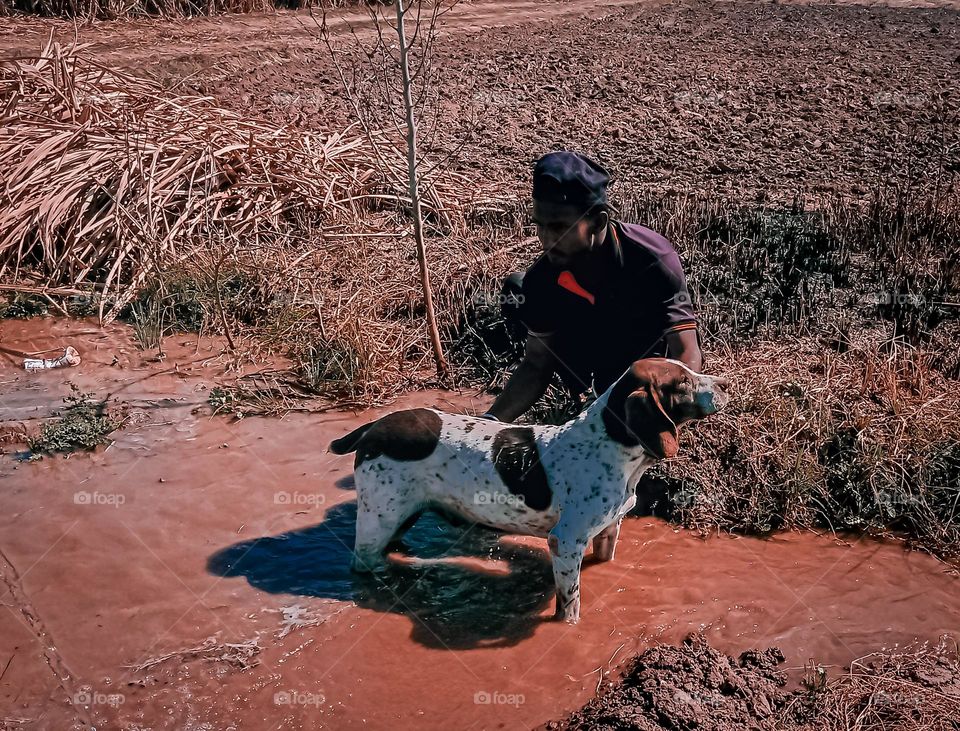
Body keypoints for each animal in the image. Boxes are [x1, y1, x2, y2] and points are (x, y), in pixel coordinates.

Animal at [330, 358, 728, 624]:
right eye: (683, 381)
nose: (725, 383)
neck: (611, 444)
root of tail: (374, 427)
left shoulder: (607, 531)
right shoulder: (565, 541)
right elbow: (570, 604)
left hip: (401, 515)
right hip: (379, 518)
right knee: (361, 561)